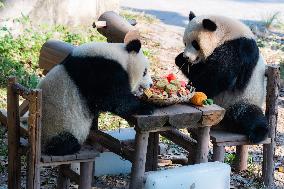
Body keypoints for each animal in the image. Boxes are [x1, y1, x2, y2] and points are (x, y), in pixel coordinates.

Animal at [175, 11, 268, 143]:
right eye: (185, 43)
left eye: (195, 44)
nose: (187, 57)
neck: (226, 33)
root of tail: (221, 124)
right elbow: (200, 70)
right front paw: (181, 60)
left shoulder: (238, 47)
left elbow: (218, 75)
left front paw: (195, 88)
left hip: (244, 98)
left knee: (249, 113)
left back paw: (258, 133)